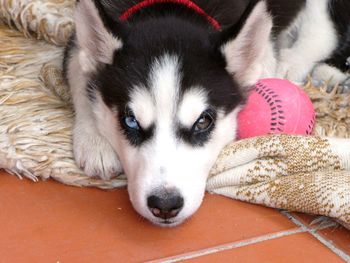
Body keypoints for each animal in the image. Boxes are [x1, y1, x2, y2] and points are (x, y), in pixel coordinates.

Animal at [64, 0, 350, 227]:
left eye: (203, 121)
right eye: (130, 121)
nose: (165, 205)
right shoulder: (76, 44)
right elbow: (78, 72)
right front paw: (95, 141)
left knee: (322, 32)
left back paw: (302, 64)